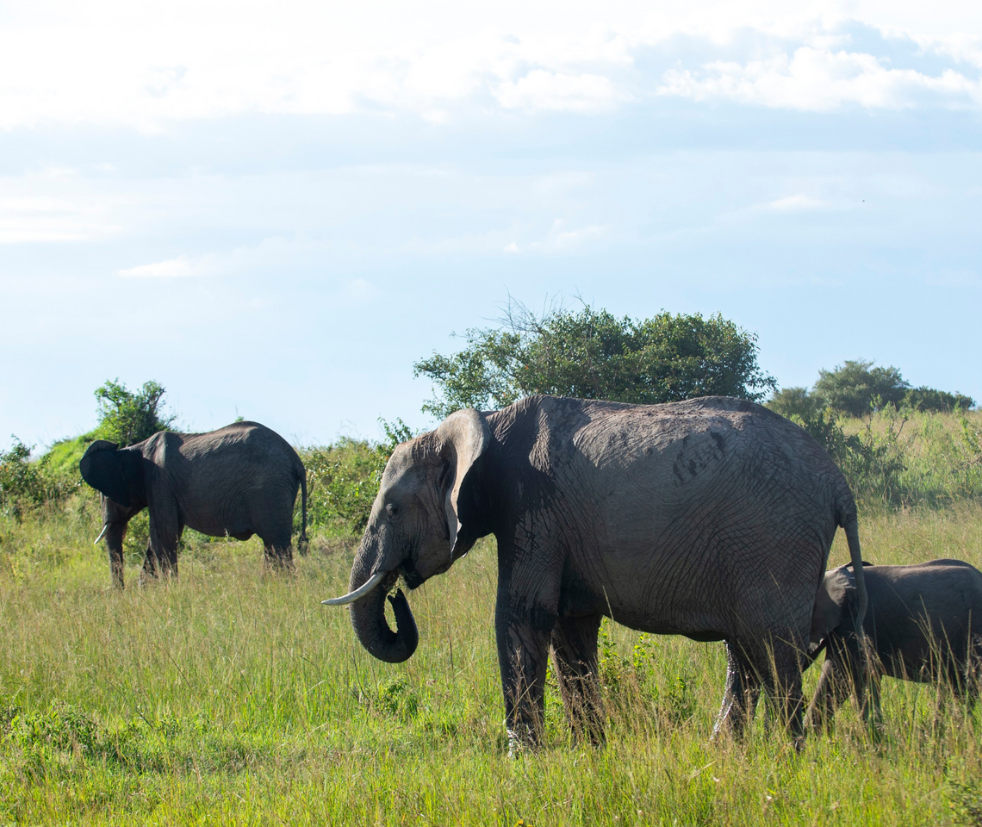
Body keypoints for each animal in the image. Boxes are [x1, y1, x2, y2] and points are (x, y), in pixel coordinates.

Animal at [81, 420, 308, 588]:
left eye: (105, 494)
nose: (119, 593)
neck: (133, 450)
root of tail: (296, 460)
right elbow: (158, 539)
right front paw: (145, 591)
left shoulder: (159, 482)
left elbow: (163, 535)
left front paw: (170, 590)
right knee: (272, 544)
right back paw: (269, 583)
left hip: (269, 489)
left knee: (277, 542)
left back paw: (282, 585)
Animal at [322, 394, 868, 752]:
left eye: (393, 509)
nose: (396, 594)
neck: (489, 424)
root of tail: (839, 484)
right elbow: (570, 630)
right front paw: (591, 752)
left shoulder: (533, 508)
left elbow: (522, 615)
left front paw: (524, 759)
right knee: (747, 652)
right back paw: (725, 754)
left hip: (772, 538)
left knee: (771, 648)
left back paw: (787, 758)